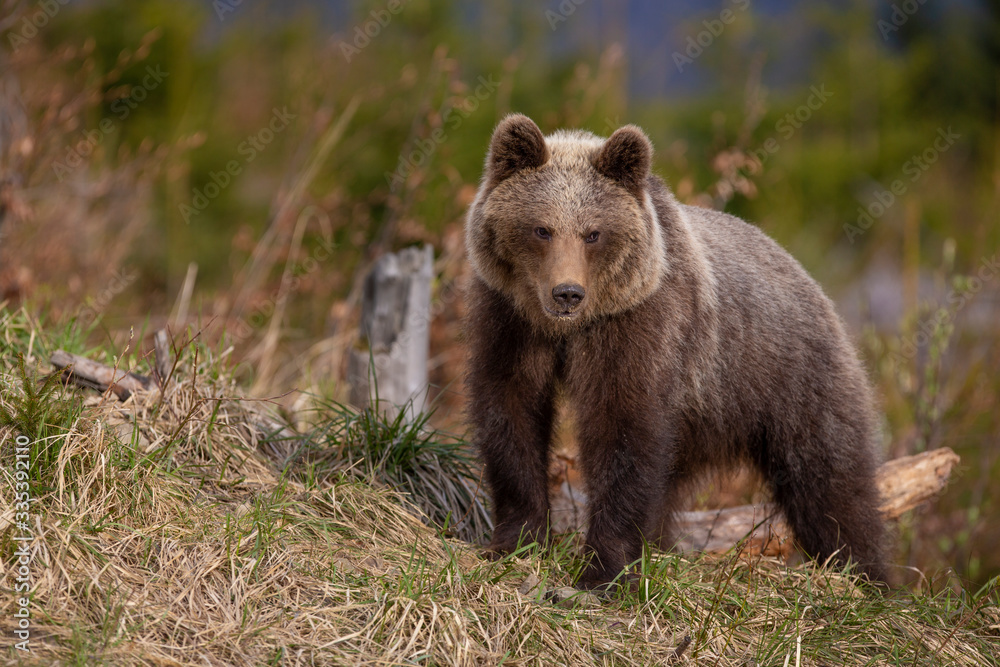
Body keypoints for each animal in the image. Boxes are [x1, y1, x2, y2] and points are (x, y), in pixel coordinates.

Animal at [464, 113, 888, 588]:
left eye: (593, 233)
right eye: (542, 229)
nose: (567, 293)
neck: (569, 330)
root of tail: (810, 280)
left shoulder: (642, 324)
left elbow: (622, 431)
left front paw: (602, 572)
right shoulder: (510, 318)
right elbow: (511, 409)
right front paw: (514, 542)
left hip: (790, 377)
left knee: (830, 482)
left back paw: (866, 575)